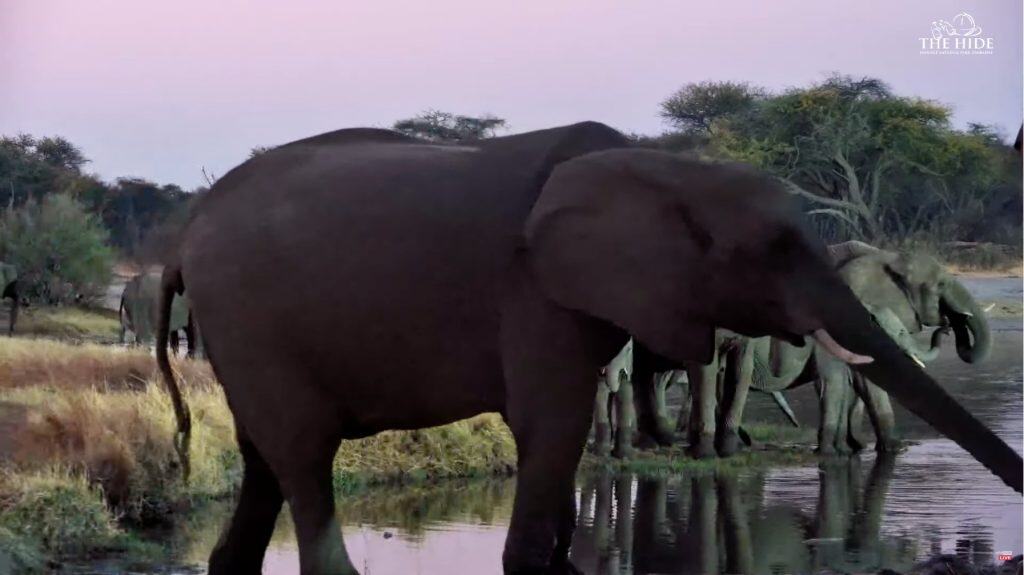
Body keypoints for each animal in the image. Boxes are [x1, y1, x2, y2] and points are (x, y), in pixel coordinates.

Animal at [154, 122, 1021, 575]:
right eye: (773, 251)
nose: (987, 552)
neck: (660, 167)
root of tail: (182, 237)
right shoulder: (533, 292)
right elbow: (551, 426)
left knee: (263, 462)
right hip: (250, 320)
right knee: (303, 458)